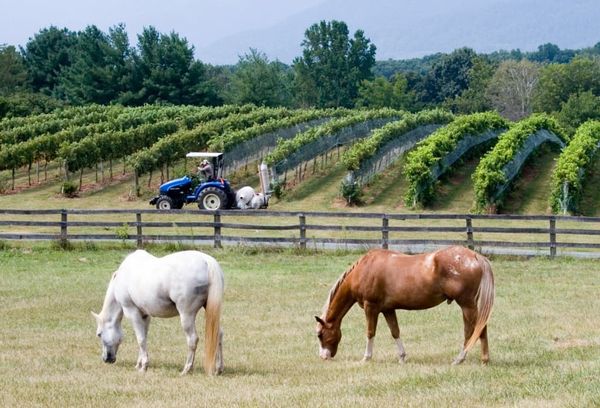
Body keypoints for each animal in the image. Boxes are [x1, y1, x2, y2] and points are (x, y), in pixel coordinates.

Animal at [92, 247, 224, 374]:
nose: (106, 359)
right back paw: (218, 368)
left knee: (192, 339)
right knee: (218, 334)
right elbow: (144, 337)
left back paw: (186, 369)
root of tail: (207, 261)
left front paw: (144, 367)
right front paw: (139, 364)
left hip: (186, 315)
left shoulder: (132, 313)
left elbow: (140, 339)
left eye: (99, 334)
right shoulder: (145, 315)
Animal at [316, 245, 494, 364]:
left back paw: (473, 359)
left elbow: (370, 332)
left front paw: (366, 358)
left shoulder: (370, 307)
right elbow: (395, 331)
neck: (364, 269)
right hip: (467, 306)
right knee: (474, 329)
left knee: (477, 329)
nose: (323, 357)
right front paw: (402, 357)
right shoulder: (388, 310)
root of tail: (475, 256)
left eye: (320, 335)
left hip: (467, 305)